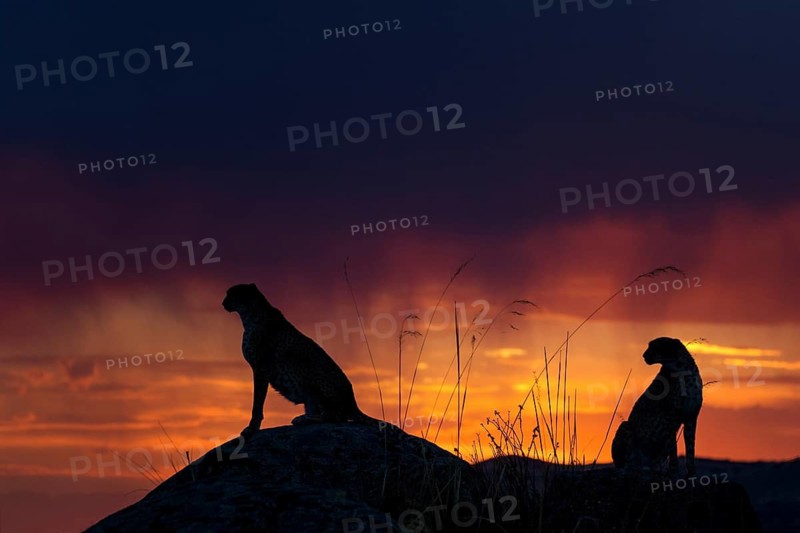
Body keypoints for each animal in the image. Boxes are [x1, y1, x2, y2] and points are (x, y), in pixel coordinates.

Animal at [222, 283, 392, 439]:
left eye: (232, 294)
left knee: (336, 417)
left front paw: (252, 428)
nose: (223, 303)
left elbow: (257, 403)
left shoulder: (261, 369)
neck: (249, 316)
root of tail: (352, 401)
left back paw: (303, 419)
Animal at [611, 337, 703, 477]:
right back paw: (629, 469)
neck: (682, 370)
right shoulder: (670, 418)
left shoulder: (691, 417)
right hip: (626, 426)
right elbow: (673, 447)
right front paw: (673, 470)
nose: (644, 355)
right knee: (625, 464)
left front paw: (691, 472)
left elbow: (691, 447)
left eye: (654, 346)